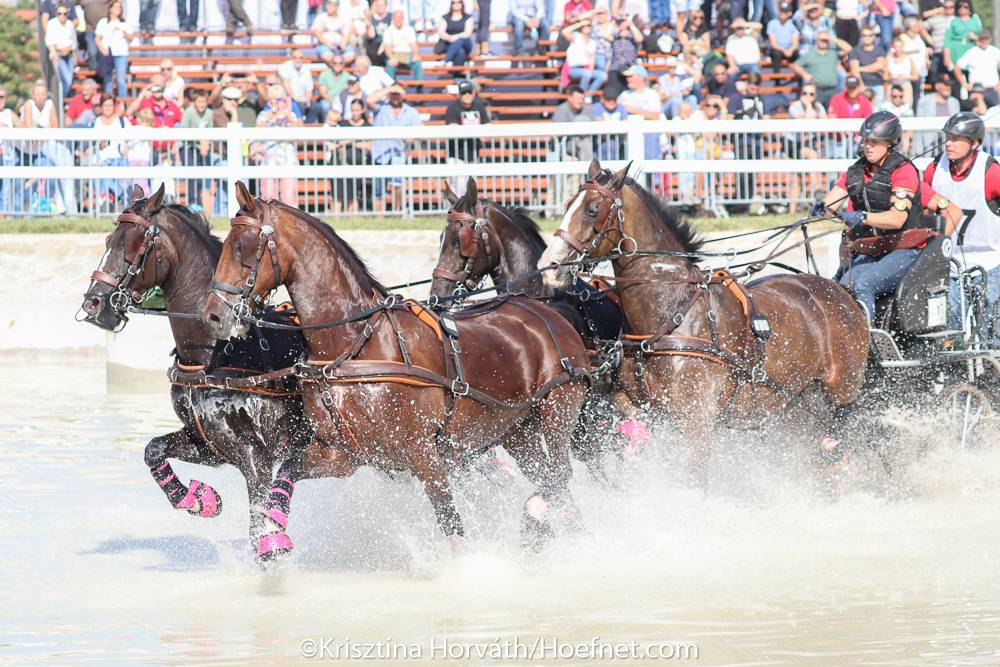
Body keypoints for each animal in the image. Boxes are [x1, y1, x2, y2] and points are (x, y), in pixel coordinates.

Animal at [80, 187, 310, 548]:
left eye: (132, 244)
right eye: (108, 239)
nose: (93, 304)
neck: (217, 351)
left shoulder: (256, 454)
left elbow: (259, 520)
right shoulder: (208, 445)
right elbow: (153, 449)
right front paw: (199, 499)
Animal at [203, 184, 592, 564]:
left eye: (241, 247)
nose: (213, 316)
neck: (356, 344)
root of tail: (548, 313)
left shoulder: (423, 452)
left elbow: (449, 519)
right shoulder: (342, 454)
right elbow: (286, 472)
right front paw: (271, 537)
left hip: (558, 408)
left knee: (560, 473)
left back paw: (538, 518)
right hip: (516, 431)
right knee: (550, 477)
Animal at [536, 162, 872, 486]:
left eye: (593, 209)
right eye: (567, 204)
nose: (548, 266)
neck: (672, 316)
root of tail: (841, 293)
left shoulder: (696, 418)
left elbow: (695, 478)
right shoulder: (637, 408)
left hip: (842, 396)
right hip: (795, 404)